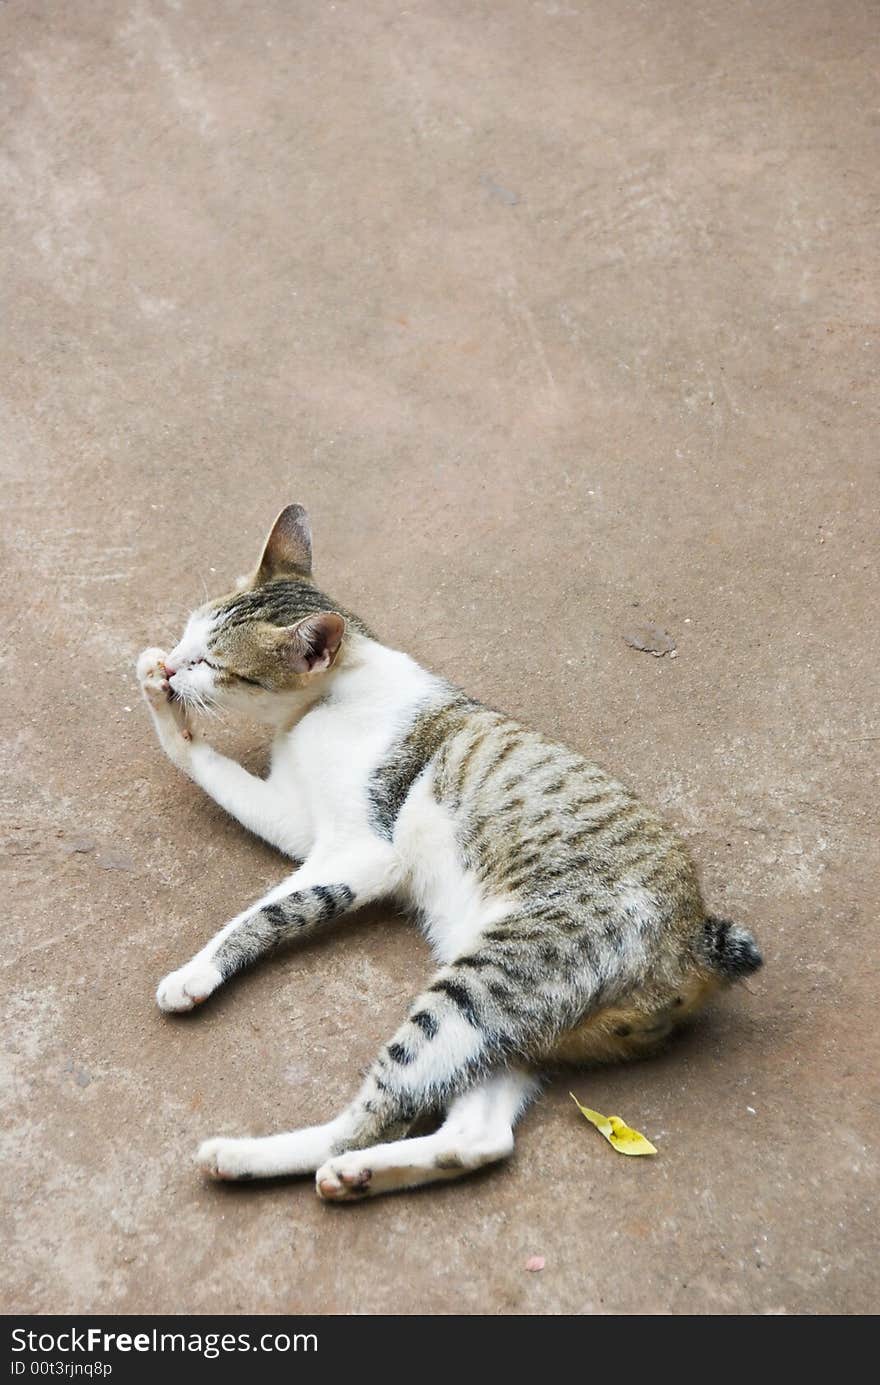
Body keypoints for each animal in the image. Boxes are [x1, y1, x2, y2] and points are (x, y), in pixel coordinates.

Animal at [139, 504, 764, 1196]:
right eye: (189, 632)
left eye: (210, 663)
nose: (174, 662)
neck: (327, 696)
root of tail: (698, 940)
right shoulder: (297, 822)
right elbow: (210, 767)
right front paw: (158, 693)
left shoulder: (360, 851)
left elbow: (264, 913)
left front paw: (194, 975)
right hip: (505, 1030)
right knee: (480, 1137)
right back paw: (360, 1175)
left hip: (480, 987)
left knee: (376, 1114)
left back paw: (249, 1157)